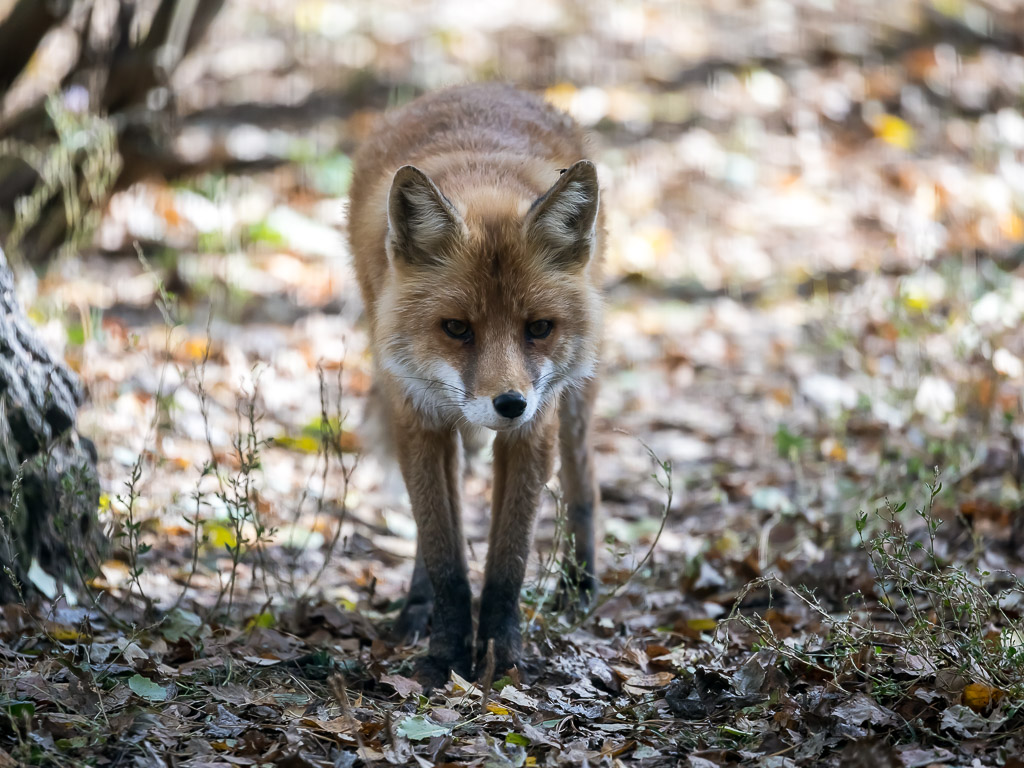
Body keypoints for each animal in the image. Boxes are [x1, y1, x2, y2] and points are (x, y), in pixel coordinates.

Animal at [350, 85, 598, 692]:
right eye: (457, 328)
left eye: (539, 327)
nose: (509, 404)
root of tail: (483, 86)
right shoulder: (419, 417)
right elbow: (445, 555)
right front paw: (444, 654)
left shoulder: (534, 430)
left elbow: (507, 562)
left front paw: (501, 657)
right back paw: (416, 608)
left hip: (574, 400)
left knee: (585, 486)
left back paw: (582, 585)